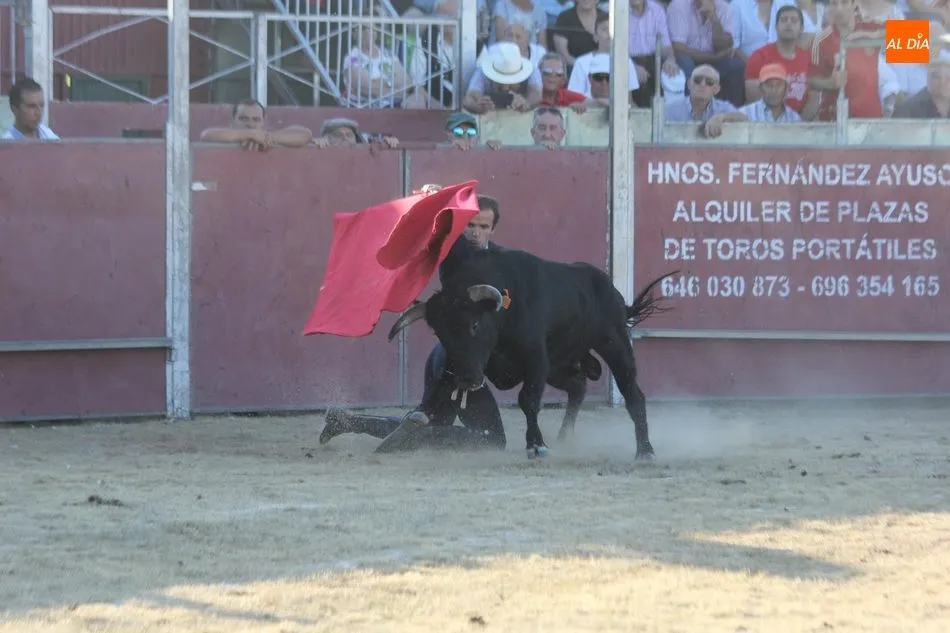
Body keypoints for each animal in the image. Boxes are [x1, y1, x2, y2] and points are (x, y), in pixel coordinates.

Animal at [388, 240, 675, 460]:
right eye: (440, 333)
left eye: (474, 324)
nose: (468, 380)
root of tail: (612, 291)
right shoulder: (459, 364)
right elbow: (441, 386)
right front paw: (418, 417)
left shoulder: (535, 359)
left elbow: (528, 399)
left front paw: (536, 445)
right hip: (558, 364)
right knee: (578, 385)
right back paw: (564, 438)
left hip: (613, 344)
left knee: (633, 394)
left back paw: (645, 450)